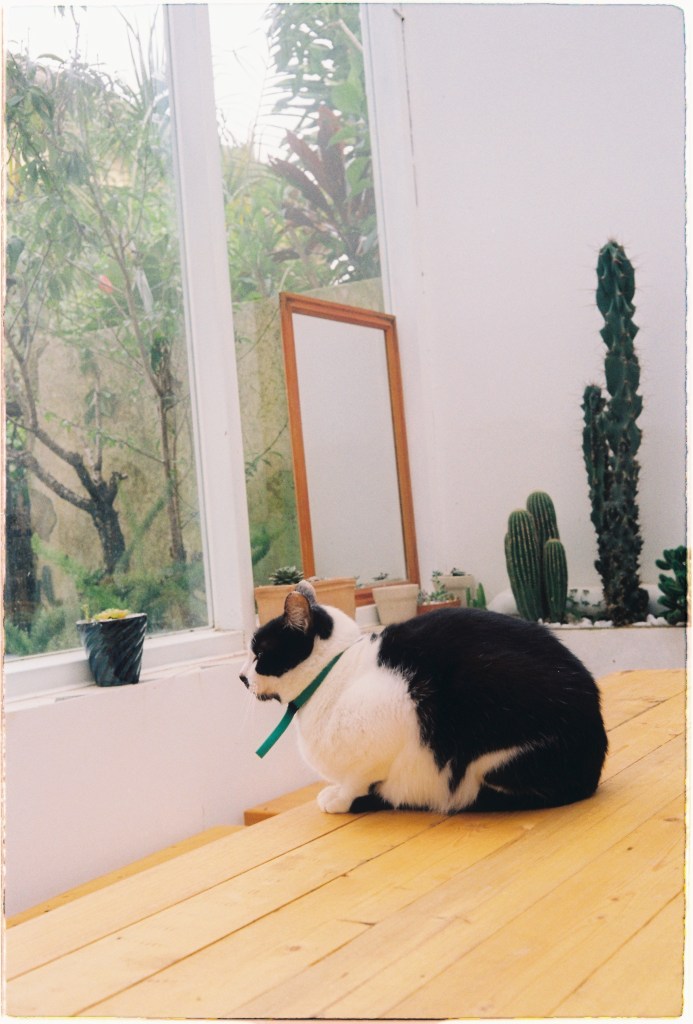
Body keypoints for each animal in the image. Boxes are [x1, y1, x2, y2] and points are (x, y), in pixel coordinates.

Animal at [240, 580, 608, 814]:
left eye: (259, 653)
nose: (241, 677)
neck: (334, 671)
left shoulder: (389, 721)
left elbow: (357, 781)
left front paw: (341, 799)